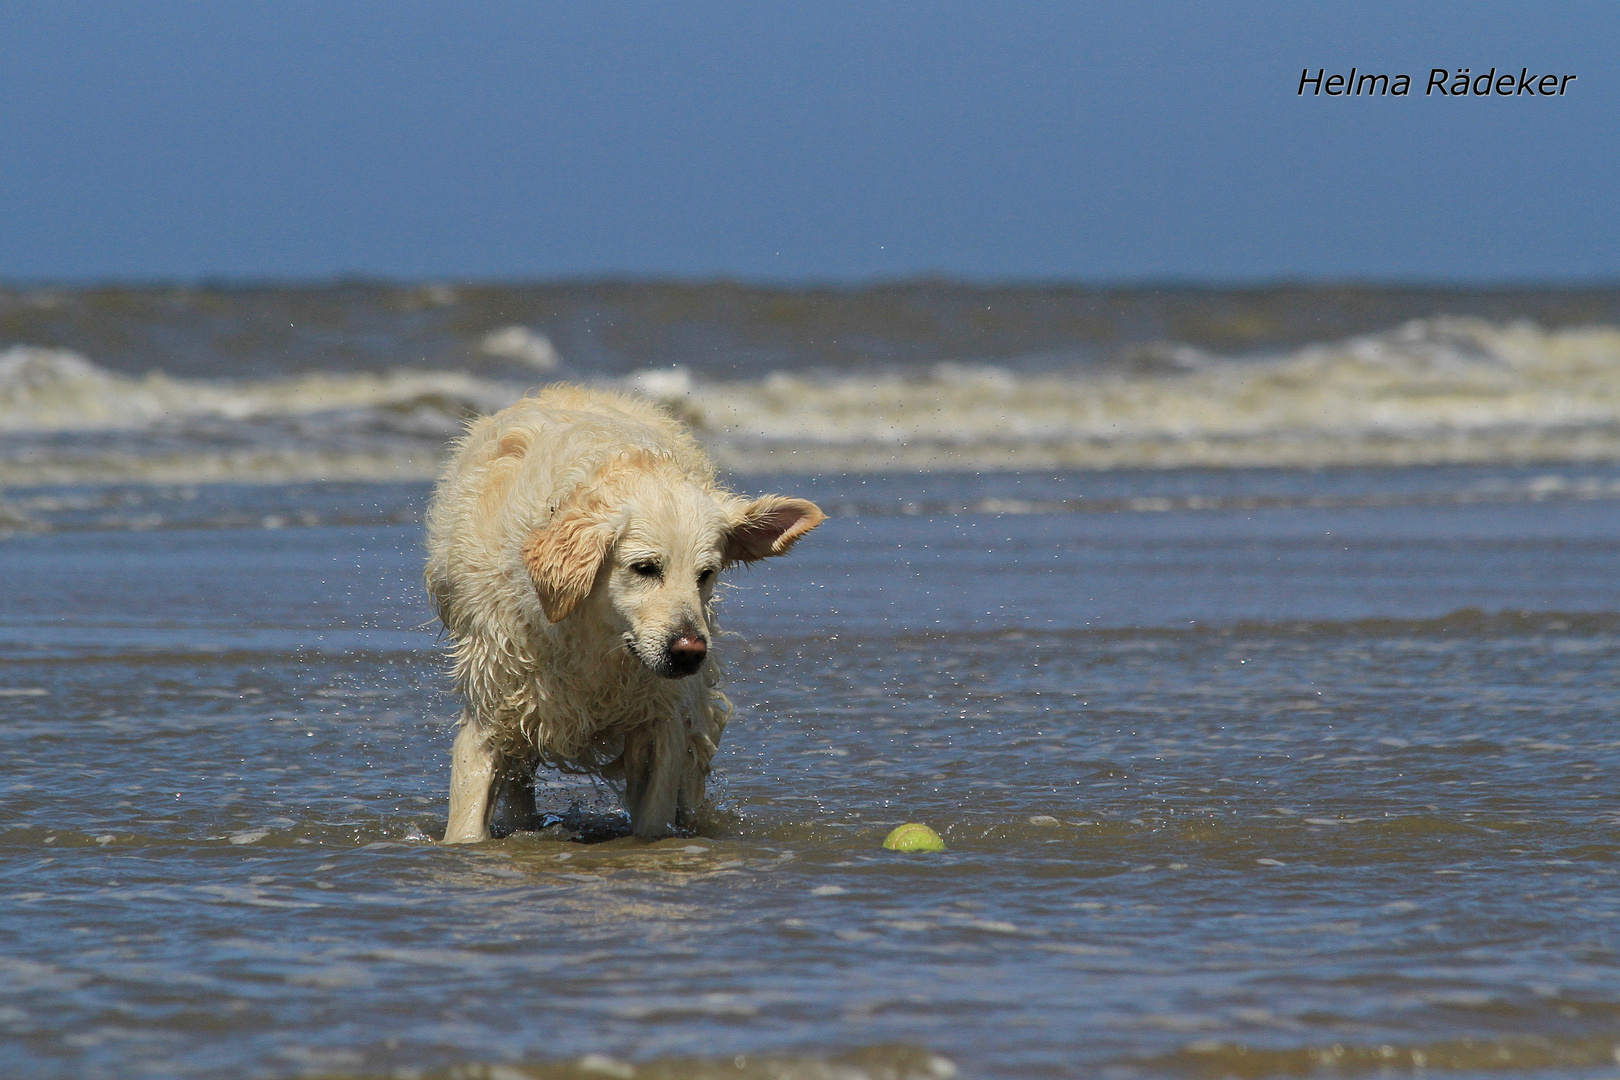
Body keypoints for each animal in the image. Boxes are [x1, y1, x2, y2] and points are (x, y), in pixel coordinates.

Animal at [427, 386, 822, 841]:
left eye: (706, 574)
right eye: (645, 568)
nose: (689, 651)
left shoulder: (662, 718)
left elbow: (655, 811)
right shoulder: (493, 703)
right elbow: (469, 816)